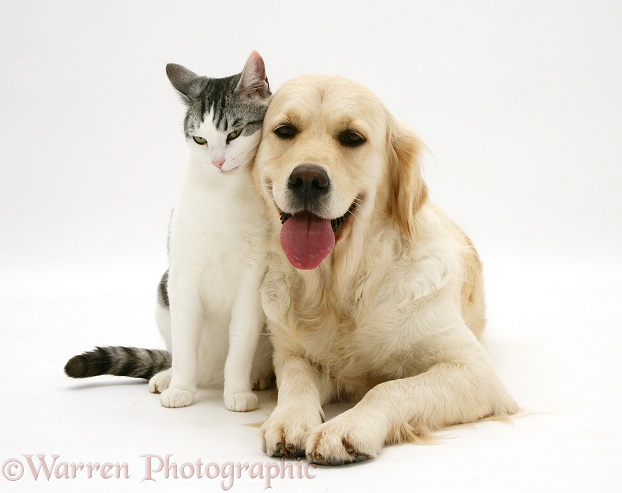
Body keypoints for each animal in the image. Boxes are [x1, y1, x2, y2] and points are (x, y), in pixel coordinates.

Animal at [251, 75, 520, 464]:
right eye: (284, 130)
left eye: (352, 137)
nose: (307, 179)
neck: (341, 289)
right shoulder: (294, 353)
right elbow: (295, 377)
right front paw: (289, 419)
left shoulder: (474, 370)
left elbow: (389, 388)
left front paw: (345, 427)